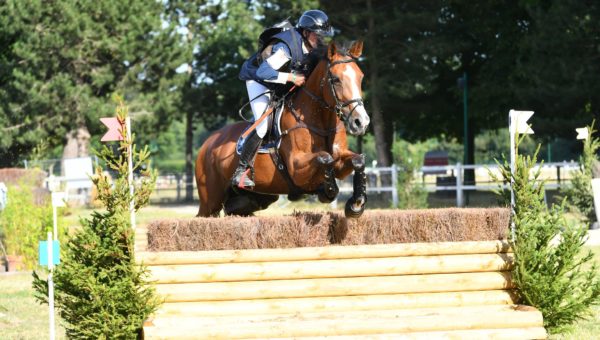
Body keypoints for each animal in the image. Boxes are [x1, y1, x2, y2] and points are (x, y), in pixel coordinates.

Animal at [195, 40, 370, 218]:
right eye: (335, 79)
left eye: (361, 77)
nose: (361, 122)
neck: (320, 122)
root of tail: (208, 144)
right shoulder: (297, 167)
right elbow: (325, 158)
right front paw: (328, 190)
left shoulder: (340, 160)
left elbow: (358, 160)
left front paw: (356, 203)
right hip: (210, 202)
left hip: (254, 197)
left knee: (234, 209)